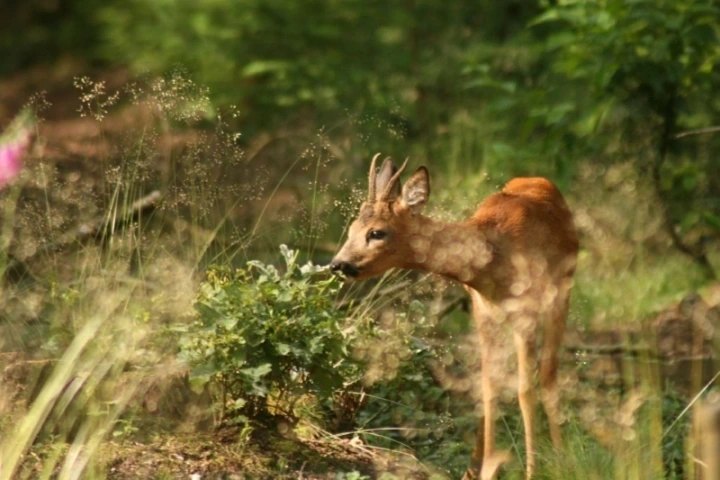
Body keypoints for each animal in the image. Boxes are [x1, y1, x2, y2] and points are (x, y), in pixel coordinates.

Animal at [330, 155, 576, 480]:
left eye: (377, 232)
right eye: (351, 229)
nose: (337, 264)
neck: (492, 262)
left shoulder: (526, 310)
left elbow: (525, 390)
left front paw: (532, 472)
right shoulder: (482, 309)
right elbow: (488, 388)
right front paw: (486, 470)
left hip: (560, 296)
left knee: (548, 376)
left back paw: (562, 457)